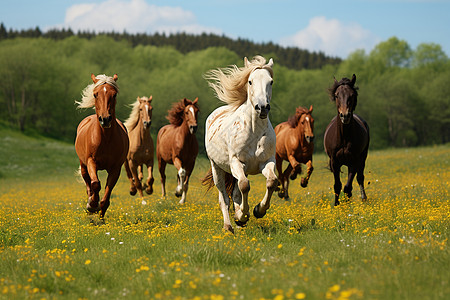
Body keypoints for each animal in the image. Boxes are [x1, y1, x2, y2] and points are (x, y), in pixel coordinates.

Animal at [74, 74, 129, 217]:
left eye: (114, 95)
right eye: (95, 94)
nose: (105, 119)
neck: (105, 139)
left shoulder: (115, 169)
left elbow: (106, 198)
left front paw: (100, 216)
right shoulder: (91, 161)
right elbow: (95, 184)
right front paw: (92, 204)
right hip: (83, 165)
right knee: (88, 183)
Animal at [203, 56, 278, 234]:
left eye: (271, 81)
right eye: (250, 81)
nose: (262, 107)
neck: (254, 131)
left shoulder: (267, 162)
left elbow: (272, 181)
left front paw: (258, 210)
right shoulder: (237, 162)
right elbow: (244, 186)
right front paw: (242, 215)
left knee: (236, 193)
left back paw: (238, 222)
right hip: (217, 168)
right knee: (224, 197)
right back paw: (229, 226)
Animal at [324, 74, 370, 206]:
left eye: (352, 95)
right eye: (336, 95)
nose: (345, 115)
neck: (344, 137)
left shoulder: (354, 161)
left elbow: (348, 187)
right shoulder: (334, 162)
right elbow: (337, 185)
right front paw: (337, 205)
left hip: (362, 158)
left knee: (360, 178)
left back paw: (363, 198)